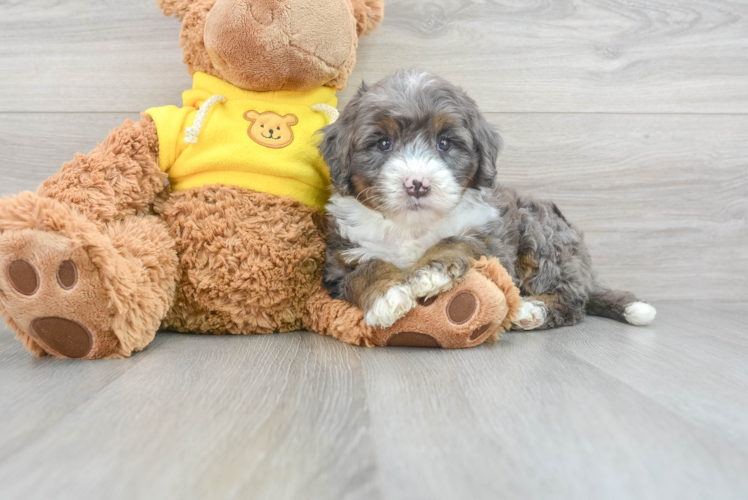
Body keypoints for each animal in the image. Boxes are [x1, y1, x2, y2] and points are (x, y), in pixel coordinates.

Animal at [318, 68, 656, 330]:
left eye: (444, 143)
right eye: (383, 144)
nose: (417, 184)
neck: (412, 226)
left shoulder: (489, 236)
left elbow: (457, 241)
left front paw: (429, 274)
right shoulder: (343, 255)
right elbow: (365, 270)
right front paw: (387, 297)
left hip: (541, 233)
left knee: (573, 302)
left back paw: (530, 310)